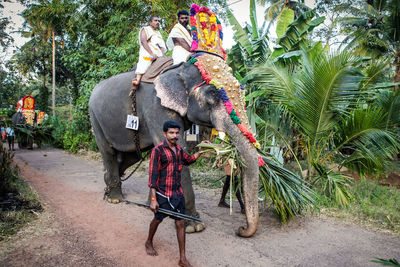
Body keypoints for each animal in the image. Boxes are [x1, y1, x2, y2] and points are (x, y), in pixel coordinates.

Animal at [89, 61, 260, 238]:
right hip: (95, 117)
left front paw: (154, 206)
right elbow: (178, 151)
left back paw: (107, 184)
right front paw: (194, 226)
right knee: (108, 152)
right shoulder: (157, 106)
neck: (179, 69)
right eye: (213, 92)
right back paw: (115, 199)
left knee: (132, 155)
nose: (240, 229)